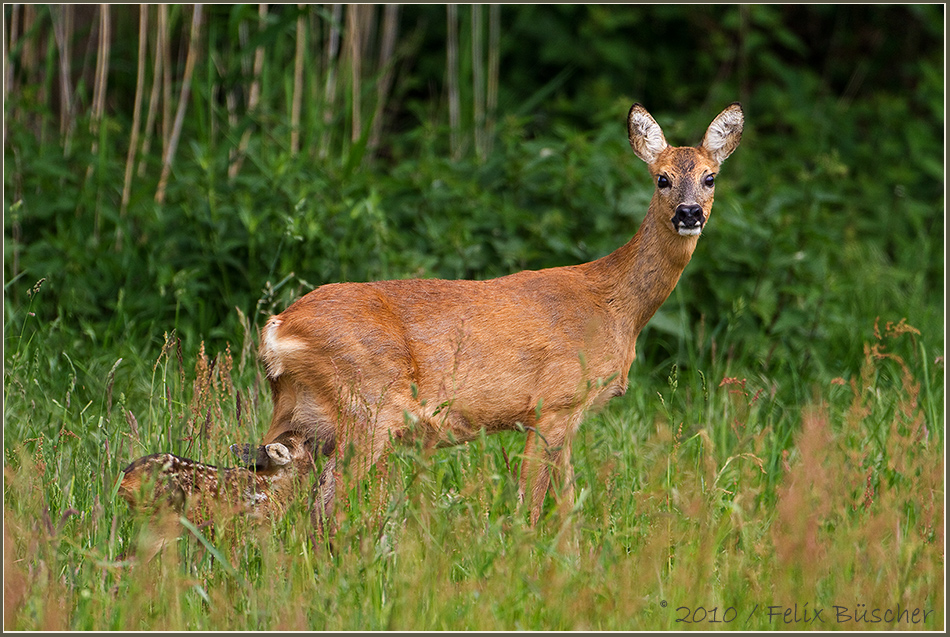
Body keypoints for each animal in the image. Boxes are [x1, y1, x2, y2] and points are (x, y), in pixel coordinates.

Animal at [231, 103, 744, 532]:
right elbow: (530, 505)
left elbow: (569, 506)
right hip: (368, 405)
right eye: (661, 178)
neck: (614, 306)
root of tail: (277, 328)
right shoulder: (553, 403)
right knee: (329, 505)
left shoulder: (573, 417)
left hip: (293, 409)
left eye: (710, 177)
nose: (689, 213)